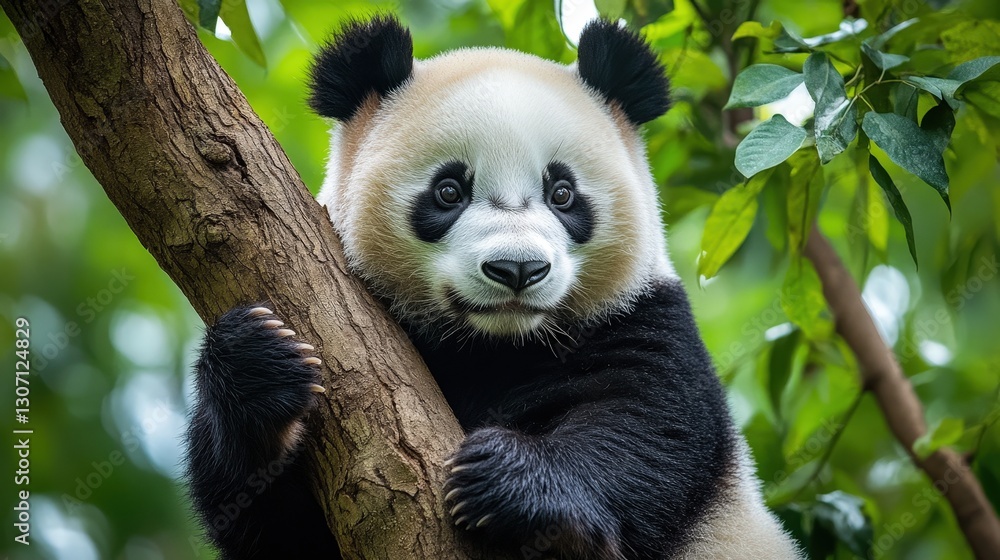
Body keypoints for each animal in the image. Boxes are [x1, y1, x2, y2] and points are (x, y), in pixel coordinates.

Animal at [185, 14, 803, 560]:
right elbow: (272, 523)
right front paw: (258, 363)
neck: (495, 344)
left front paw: (513, 481)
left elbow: (649, 428)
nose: (516, 270)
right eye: (449, 190)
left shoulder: (644, 318)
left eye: (562, 193)